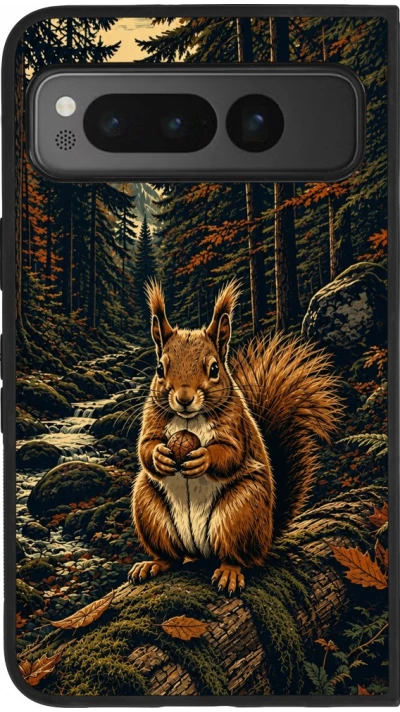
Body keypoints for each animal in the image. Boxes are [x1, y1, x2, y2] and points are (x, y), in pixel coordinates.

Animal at [129, 279, 342, 595]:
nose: (183, 398)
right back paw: (154, 564)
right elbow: (145, 447)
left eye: (214, 368)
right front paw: (160, 456)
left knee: (238, 556)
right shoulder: (152, 418)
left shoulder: (236, 423)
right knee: (172, 555)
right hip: (148, 508)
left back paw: (229, 571)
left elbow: (231, 453)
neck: (188, 420)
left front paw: (203, 458)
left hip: (240, 511)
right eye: (159, 368)